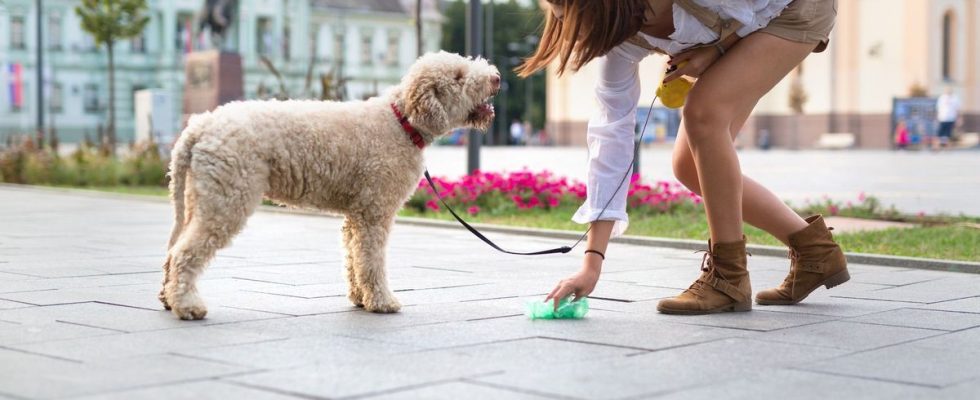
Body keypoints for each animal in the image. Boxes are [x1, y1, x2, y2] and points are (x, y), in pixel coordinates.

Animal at [163, 51, 498, 320]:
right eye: (458, 76)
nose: (496, 78)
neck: (401, 122)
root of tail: (199, 127)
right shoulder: (375, 211)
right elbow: (372, 260)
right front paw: (382, 301)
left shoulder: (357, 213)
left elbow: (353, 258)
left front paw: (360, 298)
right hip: (227, 198)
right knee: (185, 253)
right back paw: (188, 306)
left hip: (200, 196)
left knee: (173, 249)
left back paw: (168, 299)